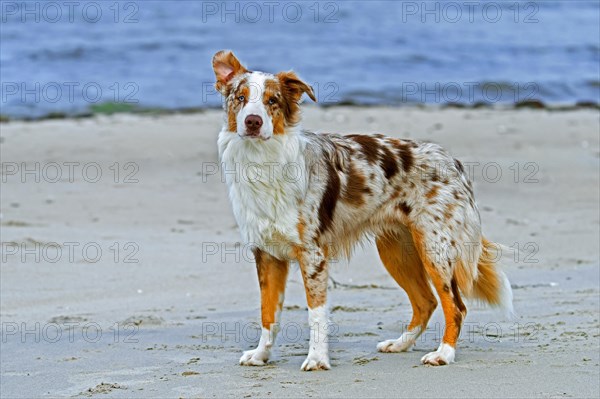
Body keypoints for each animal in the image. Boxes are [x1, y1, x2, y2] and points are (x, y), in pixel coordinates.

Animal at [210, 50, 510, 372]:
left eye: (272, 101)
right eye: (240, 98)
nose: (253, 122)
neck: (263, 161)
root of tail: (451, 160)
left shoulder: (312, 254)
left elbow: (316, 313)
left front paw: (317, 359)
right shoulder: (266, 253)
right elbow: (268, 314)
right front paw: (261, 355)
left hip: (435, 249)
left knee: (455, 305)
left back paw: (444, 353)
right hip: (396, 250)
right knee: (426, 302)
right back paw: (400, 344)